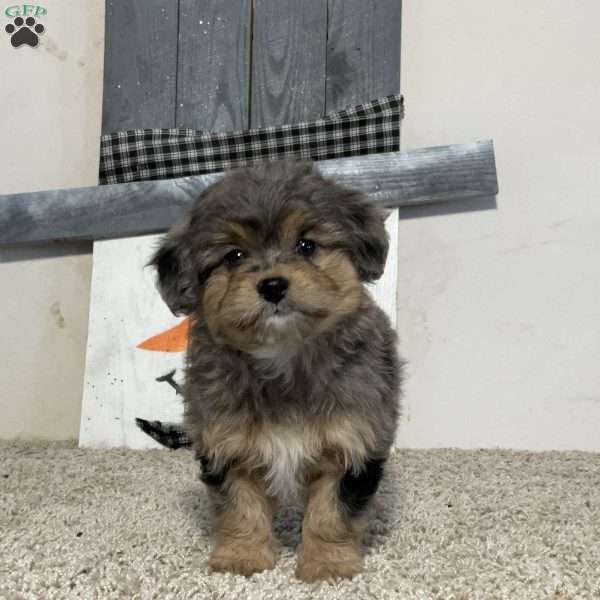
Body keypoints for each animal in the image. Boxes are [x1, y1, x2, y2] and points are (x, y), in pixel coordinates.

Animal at [152, 159, 400, 580]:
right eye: (234, 256)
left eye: (307, 245)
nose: (272, 286)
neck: (283, 356)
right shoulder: (227, 444)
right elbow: (241, 506)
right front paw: (243, 556)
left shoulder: (351, 442)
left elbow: (331, 513)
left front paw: (328, 564)